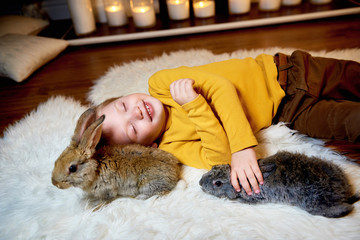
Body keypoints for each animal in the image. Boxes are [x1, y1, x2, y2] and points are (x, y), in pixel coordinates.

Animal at [52, 108, 181, 201]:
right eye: (56, 162)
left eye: (72, 168)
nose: (55, 183)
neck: (95, 169)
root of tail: (175, 170)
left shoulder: (107, 191)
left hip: (149, 184)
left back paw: (140, 197)